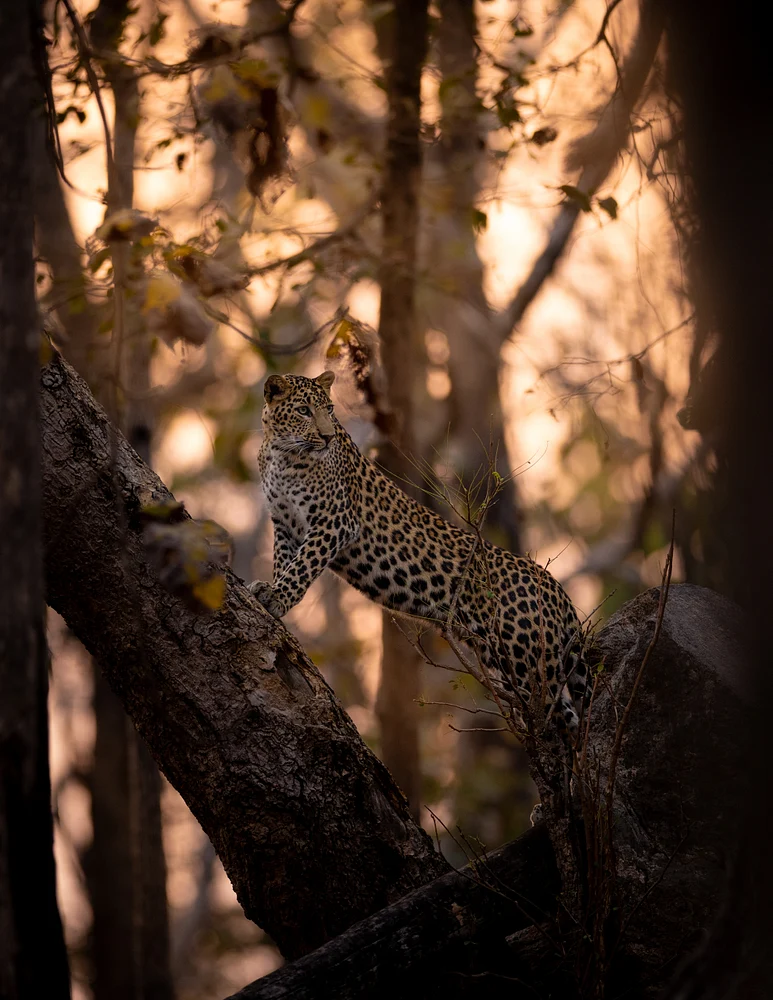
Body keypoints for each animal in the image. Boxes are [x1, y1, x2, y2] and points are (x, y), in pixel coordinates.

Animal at [249, 370, 587, 732]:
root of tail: (555, 588)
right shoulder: (284, 524)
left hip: (527, 664)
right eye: (303, 411)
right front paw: (273, 592)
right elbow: (285, 563)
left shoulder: (334, 522)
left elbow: (301, 567)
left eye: (329, 410)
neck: (281, 454)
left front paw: (277, 598)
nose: (326, 438)